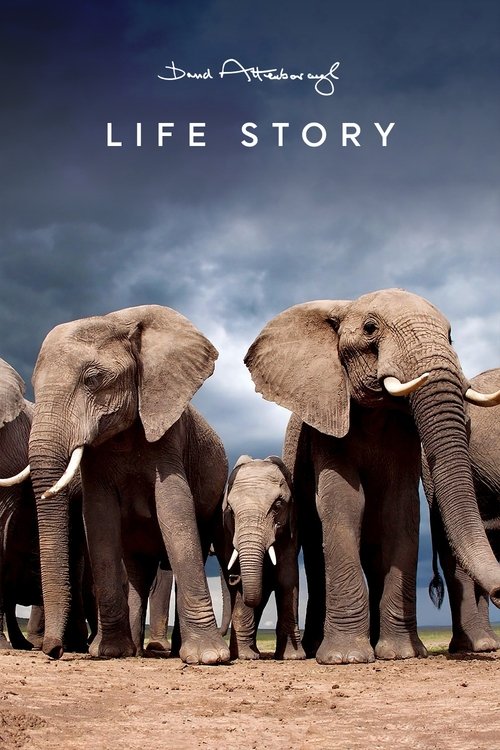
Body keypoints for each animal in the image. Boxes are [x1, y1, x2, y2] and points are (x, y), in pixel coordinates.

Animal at [27, 304, 230, 664]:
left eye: (92, 379)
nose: (54, 650)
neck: (118, 321)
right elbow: (98, 516)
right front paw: (109, 652)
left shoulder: (169, 433)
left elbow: (175, 507)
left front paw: (209, 658)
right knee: (138, 570)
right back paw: (132, 651)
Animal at [221, 455, 304, 660]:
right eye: (231, 511)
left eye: (278, 505)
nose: (233, 578)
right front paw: (246, 657)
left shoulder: (291, 531)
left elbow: (287, 578)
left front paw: (293, 657)